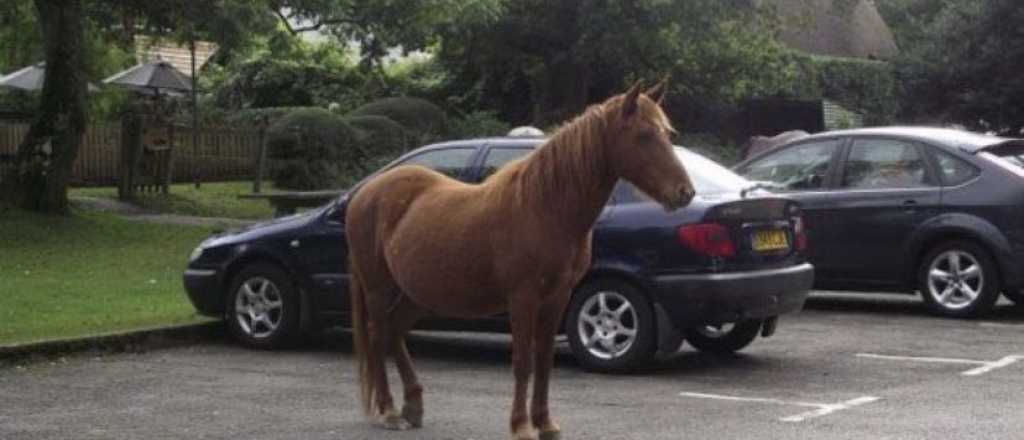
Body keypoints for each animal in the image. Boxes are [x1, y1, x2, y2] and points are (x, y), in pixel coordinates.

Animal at [346, 82, 696, 440]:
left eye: (667, 133)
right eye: (643, 135)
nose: (685, 192)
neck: (544, 207)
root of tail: (364, 192)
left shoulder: (557, 298)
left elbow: (543, 362)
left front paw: (546, 423)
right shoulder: (523, 298)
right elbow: (523, 362)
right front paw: (521, 426)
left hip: (416, 294)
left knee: (393, 332)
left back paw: (413, 406)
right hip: (378, 288)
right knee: (377, 335)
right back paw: (389, 411)